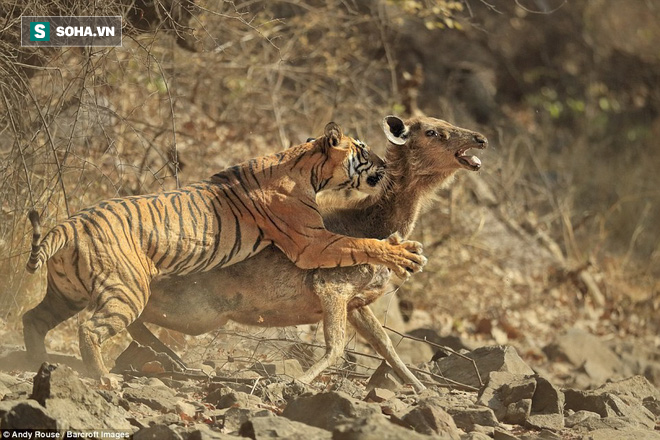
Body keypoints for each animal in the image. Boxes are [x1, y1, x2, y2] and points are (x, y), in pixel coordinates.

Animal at [21, 121, 428, 378]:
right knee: (90, 329)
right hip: (126, 290)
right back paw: (103, 378)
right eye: (363, 149)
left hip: (66, 293)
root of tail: (70, 223)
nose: (386, 164)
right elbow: (361, 243)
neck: (308, 167)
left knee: (32, 318)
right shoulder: (312, 242)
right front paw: (405, 253)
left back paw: (35, 363)